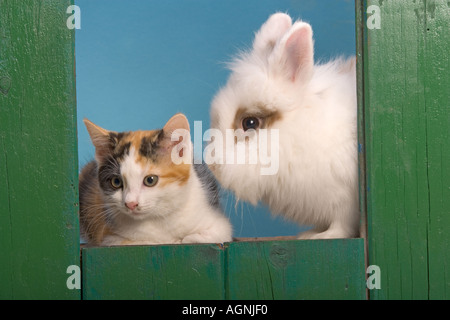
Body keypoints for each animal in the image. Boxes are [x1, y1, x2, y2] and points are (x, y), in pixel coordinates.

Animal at [78, 114, 232, 246]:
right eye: (116, 182)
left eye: (150, 180)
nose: (131, 204)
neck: (159, 218)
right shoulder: (109, 237)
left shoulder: (218, 222)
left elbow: (216, 235)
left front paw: (186, 238)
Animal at [209, 12, 360, 239]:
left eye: (250, 123)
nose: (213, 165)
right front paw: (310, 233)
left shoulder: (345, 197)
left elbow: (341, 224)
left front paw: (324, 235)